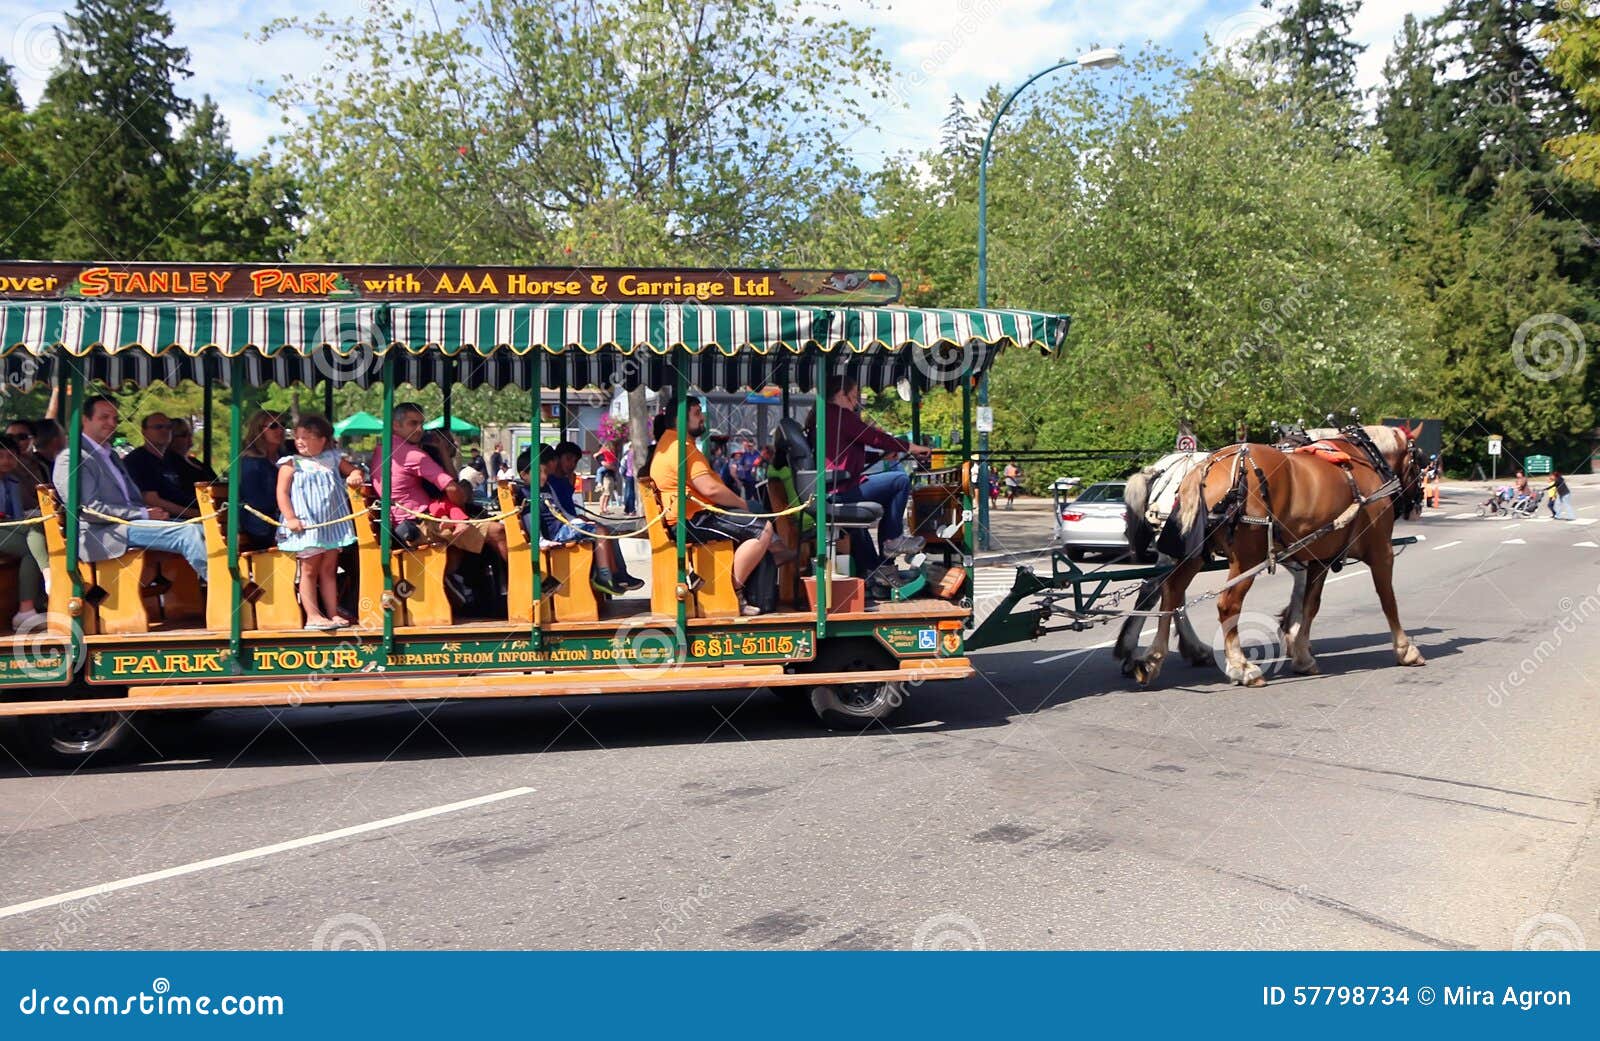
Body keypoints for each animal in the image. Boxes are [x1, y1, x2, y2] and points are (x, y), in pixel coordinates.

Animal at [1126, 428, 1427, 687]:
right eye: (1420, 462)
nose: (1417, 504)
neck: (1365, 460)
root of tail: (1203, 466)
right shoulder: (1381, 551)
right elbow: (1388, 599)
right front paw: (1405, 649)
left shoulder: (1320, 558)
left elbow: (1310, 605)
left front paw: (1302, 654)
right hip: (1247, 557)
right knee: (1225, 604)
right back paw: (1241, 667)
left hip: (1195, 554)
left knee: (1171, 592)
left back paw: (1152, 659)